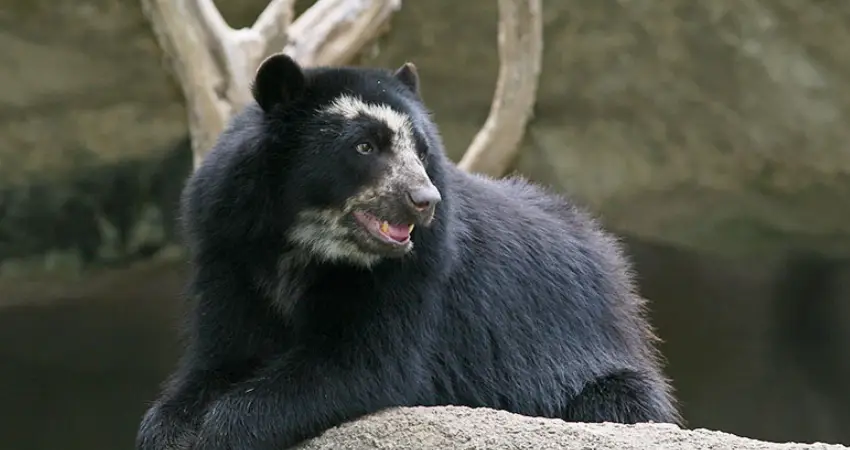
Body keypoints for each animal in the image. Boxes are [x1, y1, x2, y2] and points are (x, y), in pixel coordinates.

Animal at [135, 53, 680, 450]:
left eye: (421, 150)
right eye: (363, 146)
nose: (425, 201)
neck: (304, 241)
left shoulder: (415, 274)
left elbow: (360, 365)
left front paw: (220, 430)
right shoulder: (228, 248)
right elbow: (218, 359)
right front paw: (171, 429)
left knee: (616, 405)